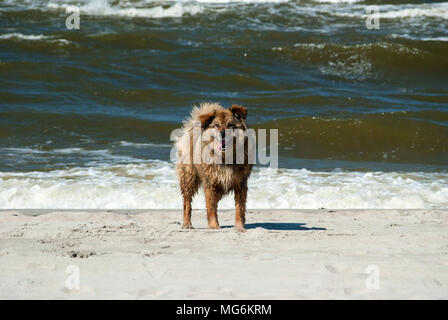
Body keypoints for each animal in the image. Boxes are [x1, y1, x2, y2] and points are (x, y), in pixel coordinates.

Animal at [174, 102, 252, 230]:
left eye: (230, 125)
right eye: (216, 125)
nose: (223, 133)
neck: (225, 157)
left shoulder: (240, 184)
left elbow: (240, 208)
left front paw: (240, 227)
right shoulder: (211, 184)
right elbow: (211, 207)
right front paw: (214, 226)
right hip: (189, 178)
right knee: (187, 202)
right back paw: (187, 224)